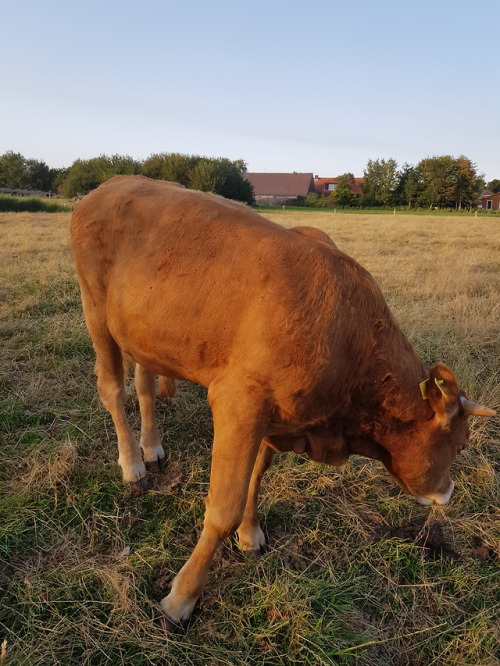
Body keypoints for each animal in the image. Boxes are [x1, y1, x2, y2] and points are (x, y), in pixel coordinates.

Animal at [70, 175, 496, 628]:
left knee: (144, 383)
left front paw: (250, 534)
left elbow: (257, 475)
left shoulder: (271, 417)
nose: (448, 493)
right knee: (113, 389)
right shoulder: (238, 404)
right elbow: (222, 508)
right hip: (96, 312)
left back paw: (152, 448)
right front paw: (182, 597)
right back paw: (132, 465)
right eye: (461, 445)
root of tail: (111, 184)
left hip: (145, 332)